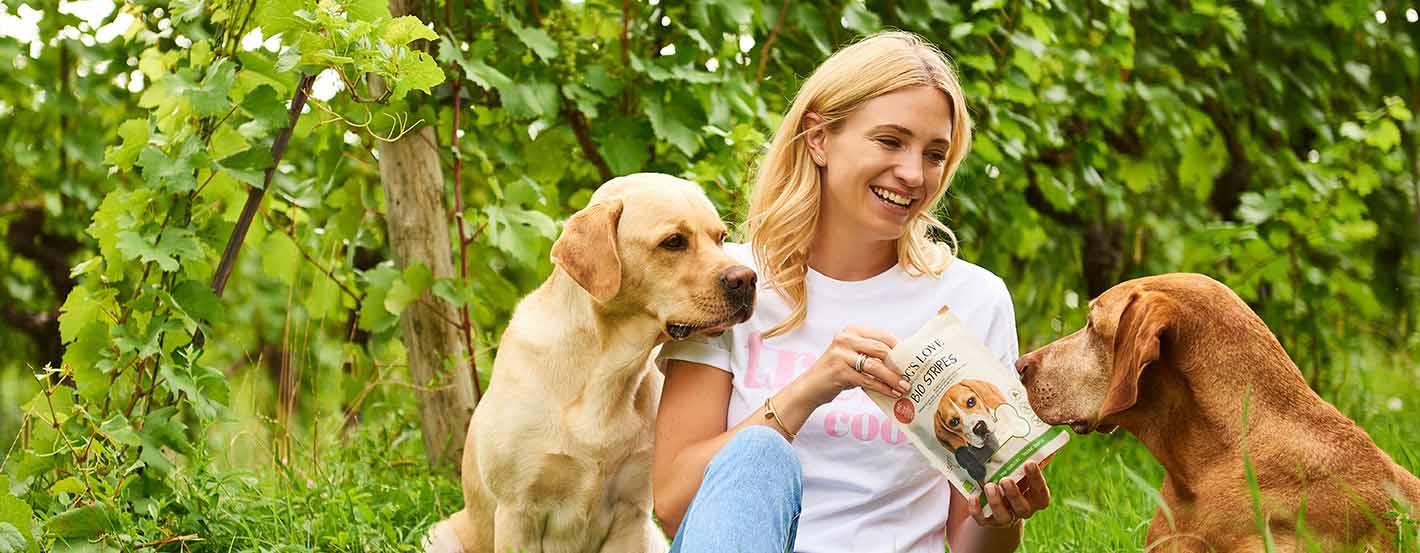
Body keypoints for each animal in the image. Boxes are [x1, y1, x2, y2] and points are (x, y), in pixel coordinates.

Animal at [426, 173, 761, 551]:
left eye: (720, 238)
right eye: (673, 242)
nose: (746, 279)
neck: (606, 369)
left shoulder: (631, 512)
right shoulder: (518, 511)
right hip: (440, 535)